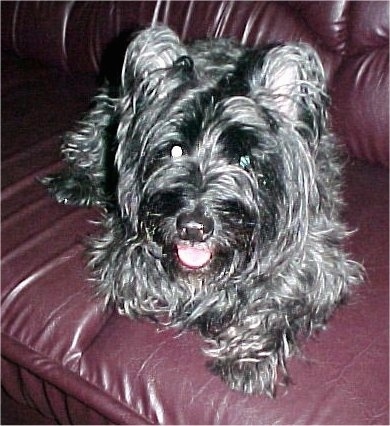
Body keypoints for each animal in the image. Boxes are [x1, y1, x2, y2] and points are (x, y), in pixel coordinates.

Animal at [41, 25, 362, 396]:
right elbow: (143, 280)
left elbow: (280, 306)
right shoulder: (124, 252)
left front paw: (246, 359)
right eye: (175, 150)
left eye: (246, 161)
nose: (193, 227)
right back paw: (74, 182)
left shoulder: (320, 267)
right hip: (107, 112)